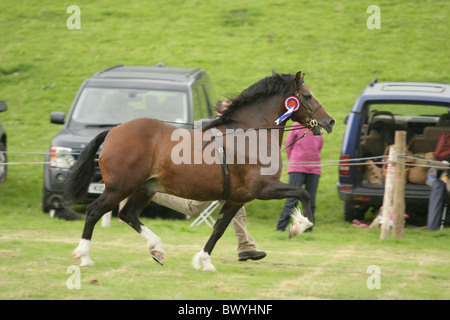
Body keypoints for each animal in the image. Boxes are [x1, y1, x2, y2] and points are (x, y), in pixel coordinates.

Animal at [67, 70, 334, 270]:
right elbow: (303, 193)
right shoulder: (263, 188)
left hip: (146, 188)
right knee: (94, 211)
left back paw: (157, 249)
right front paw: (299, 226)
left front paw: (204, 261)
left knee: (128, 214)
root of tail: (113, 130)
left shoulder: (238, 198)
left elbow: (219, 229)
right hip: (120, 187)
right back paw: (84, 257)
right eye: (307, 96)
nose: (329, 122)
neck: (250, 134)